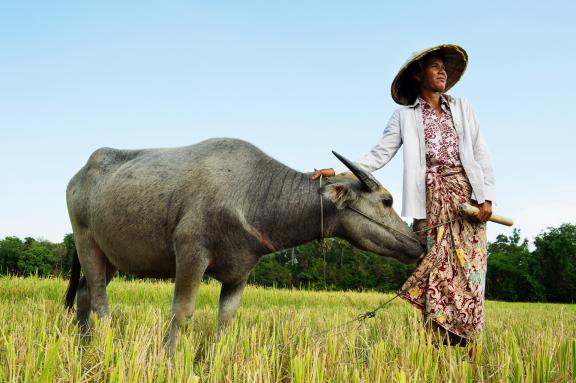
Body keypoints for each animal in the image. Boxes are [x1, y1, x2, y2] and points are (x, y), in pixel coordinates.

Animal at [64, 136, 424, 356]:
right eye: (387, 200)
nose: (420, 243)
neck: (254, 195)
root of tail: (78, 176)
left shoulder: (240, 272)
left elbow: (226, 319)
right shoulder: (190, 253)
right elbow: (182, 313)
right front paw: (169, 358)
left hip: (110, 256)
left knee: (83, 294)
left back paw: (83, 347)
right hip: (86, 241)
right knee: (100, 301)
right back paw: (105, 345)